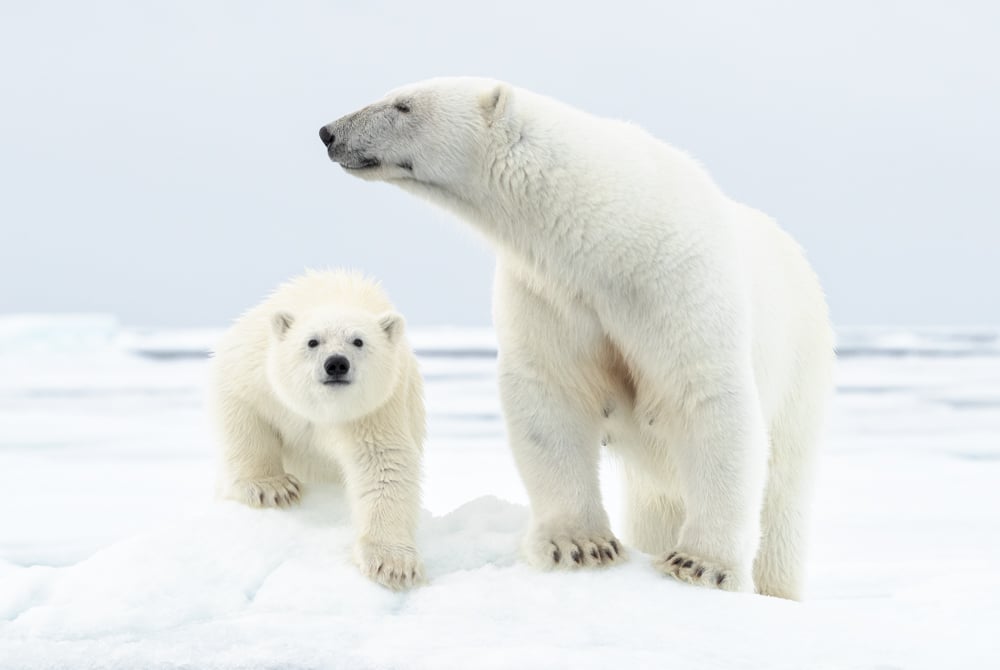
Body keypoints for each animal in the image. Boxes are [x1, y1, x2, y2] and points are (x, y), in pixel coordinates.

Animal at [210, 270, 426, 591]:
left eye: (358, 341)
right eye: (312, 342)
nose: (336, 363)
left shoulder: (376, 407)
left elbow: (384, 463)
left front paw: (392, 564)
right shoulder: (256, 366)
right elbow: (242, 407)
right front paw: (273, 488)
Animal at [318, 78, 834, 600]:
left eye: (403, 105)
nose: (329, 132)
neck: (612, 236)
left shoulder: (678, 281)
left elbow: (706, 395)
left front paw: (700, 564)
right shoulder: (550, 292)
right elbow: (552, 394)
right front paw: (580, 546)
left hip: (803, 372)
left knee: (782, 494)